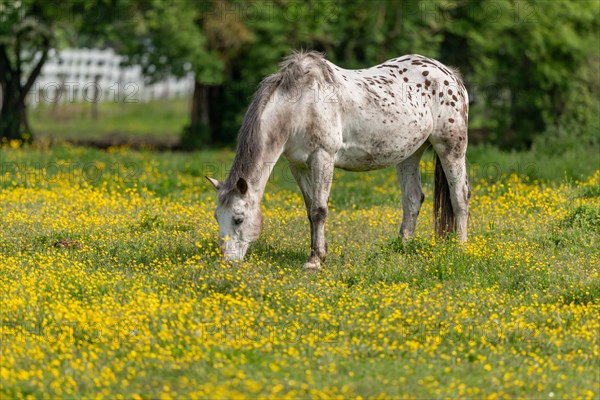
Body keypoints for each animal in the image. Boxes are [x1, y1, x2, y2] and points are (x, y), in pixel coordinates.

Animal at [206, 49, 468, 268]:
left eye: (238, 219)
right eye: (217, 217)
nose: (227, 262)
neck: (300, 107)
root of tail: (450, 74)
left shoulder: (323, 158)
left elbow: (319, 210)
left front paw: (314, 261)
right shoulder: (297, 165)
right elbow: (309, 209)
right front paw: (320, 252)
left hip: (452, 148)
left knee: (460, 198)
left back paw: (460, 248)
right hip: (410, 154)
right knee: (413, 199)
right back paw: (402, 248)